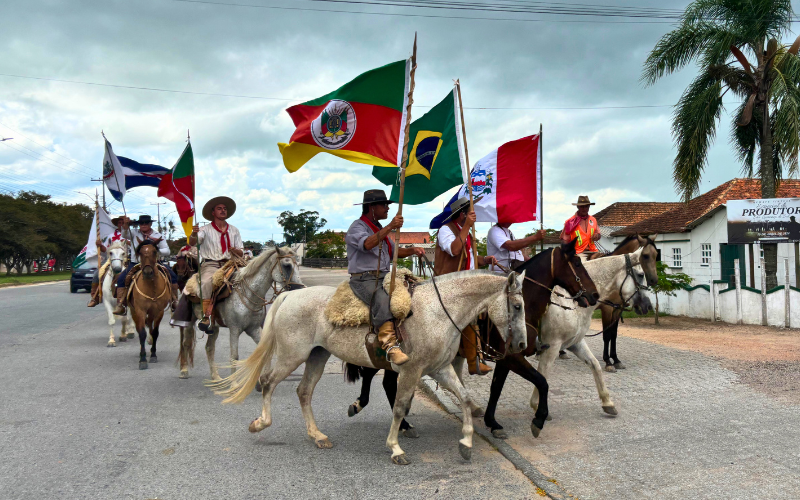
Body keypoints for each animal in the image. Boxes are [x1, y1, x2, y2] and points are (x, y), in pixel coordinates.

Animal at [130, 240, 172, 370]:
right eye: (140, 252)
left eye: (154, 251)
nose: (148, 273)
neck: (151, 287)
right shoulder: (140, 310)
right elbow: (142, 333)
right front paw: (142, 359)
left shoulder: (159, 311)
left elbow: (155, 332)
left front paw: (153, 354)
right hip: (134, 311)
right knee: (140, 328)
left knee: (150, 325)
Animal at [178, 246, 304, 378]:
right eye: (287, 265)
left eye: (297, 265)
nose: (300, 288)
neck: (248, 294)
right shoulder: (234, 329)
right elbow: (234, 357)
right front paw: (233, 383)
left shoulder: (253, 329)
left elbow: (263, 352)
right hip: (189, 321)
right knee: (186, 343)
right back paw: (184, 370)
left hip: (213, 327)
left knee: (209, 347)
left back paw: (215, 376)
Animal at [209, 270, 528, 464]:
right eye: (517, 307)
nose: (523, 344)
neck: (437, 311)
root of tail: (290, 294)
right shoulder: (411, 372)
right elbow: (399, 407)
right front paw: (395, 448)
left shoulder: (440, 369)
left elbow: (465, 398)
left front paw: (466, 443)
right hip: (291, 356)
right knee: (268, 382)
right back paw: (261, 423)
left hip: (316, 356)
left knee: (304, 392)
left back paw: (318, 436)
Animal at [532, 247, 648, 418]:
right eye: (640, 274)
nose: (647, 305)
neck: (569, 302)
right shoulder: (553, 345)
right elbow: (542, 375)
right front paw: (536, 406)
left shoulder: (575, 342)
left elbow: (595, 365)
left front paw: (607, 402)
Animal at [584, 234, 660, 372]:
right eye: (645, 255)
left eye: (656, 254)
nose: (654, 280)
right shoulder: (607, 309)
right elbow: (606, 334)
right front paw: (608, 361)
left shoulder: (617, 309)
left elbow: (613, 334)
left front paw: (616, 359)